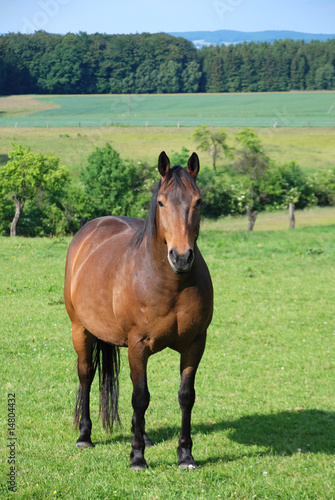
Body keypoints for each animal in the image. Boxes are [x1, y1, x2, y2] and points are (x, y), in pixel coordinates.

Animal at [64, 151, 214, 468]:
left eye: (198, 201)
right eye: (161, 203)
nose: (181, 257)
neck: (170, 283)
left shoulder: (195, 344)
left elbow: (185, 396)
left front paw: (185, 455)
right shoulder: (137, 344)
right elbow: (140, 397)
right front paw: (137, 457)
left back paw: (144, 436)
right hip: (80, 330)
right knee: (86, 374)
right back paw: (85, 436)